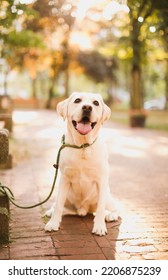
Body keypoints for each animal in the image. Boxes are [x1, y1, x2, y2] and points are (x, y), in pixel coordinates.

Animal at [44, 93, 118, 235]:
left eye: (96, 103)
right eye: (77, 100)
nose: (87, 107)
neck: (82, 146)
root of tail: (83, 209)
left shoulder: (101, 180)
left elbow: (100, 209)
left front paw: (99, 226)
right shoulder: (64, 179)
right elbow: (59, 205)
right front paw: (53, 223)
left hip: (107, 195)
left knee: (116, 207)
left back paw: (110, 215)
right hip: (66, 196)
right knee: (57, 205)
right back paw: (51, 211)